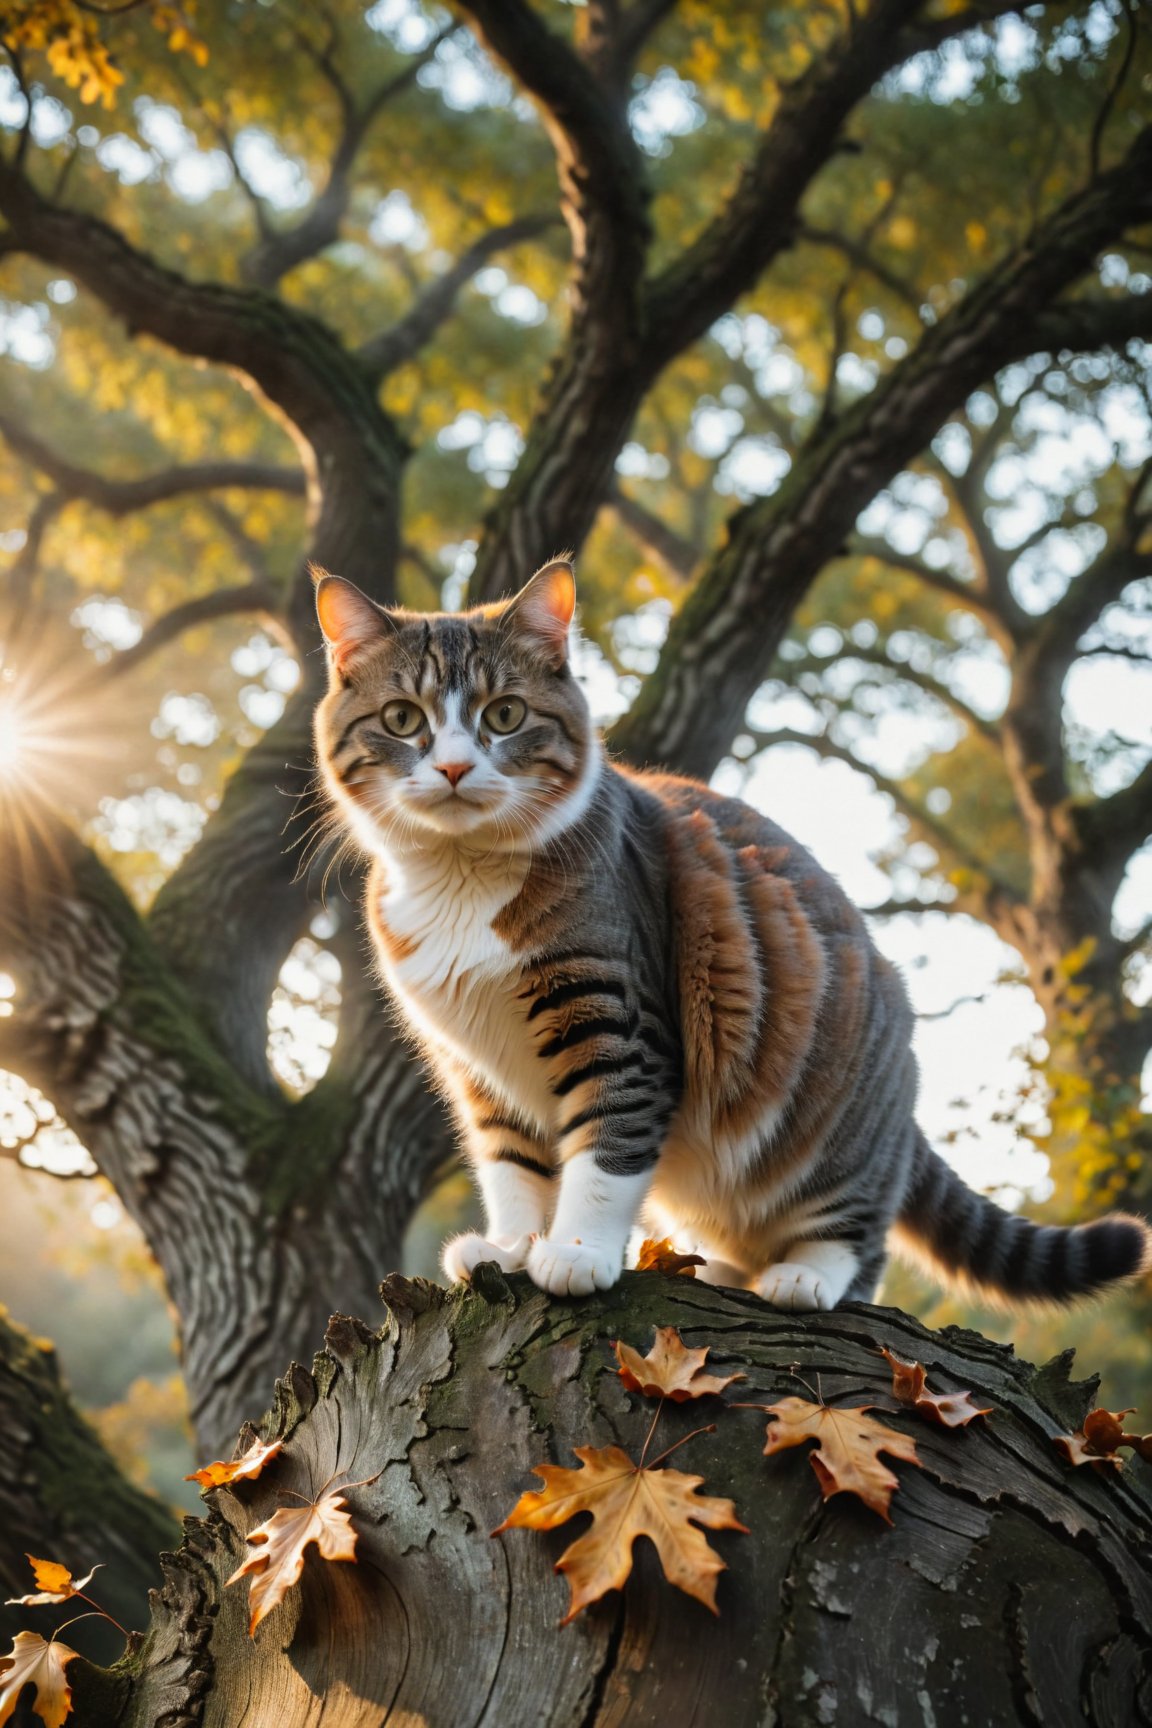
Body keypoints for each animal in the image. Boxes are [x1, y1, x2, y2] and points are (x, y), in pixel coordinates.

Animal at [310, 563, 1146, 1306]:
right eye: (403, 719)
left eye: (505, 715)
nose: (454, 768)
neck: (463, 879)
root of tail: (902, 1105)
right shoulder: (480, 1065)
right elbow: (514, 1167)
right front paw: (515, 1246)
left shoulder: (621, 1017)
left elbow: (606, 1147)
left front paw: (576, 1253)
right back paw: (711, 1267)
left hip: (837, 1124)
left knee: (860, 1241)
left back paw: (806, 1278)